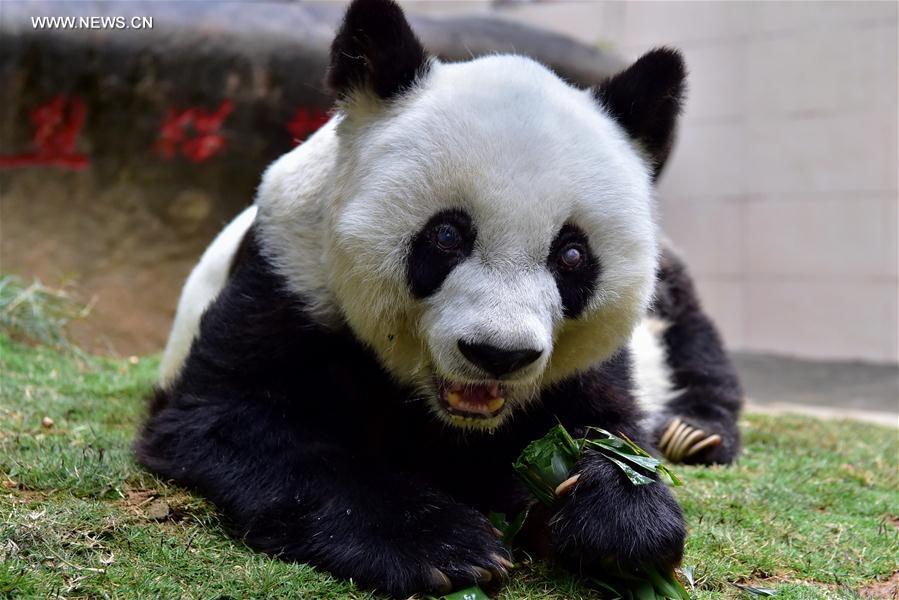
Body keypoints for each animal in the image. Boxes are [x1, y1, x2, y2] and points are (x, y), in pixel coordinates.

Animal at [137, 1, 740, 596]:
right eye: (447, 235)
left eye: (571, 255)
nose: (498, 354)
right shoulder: (292, 272)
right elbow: (226, 419)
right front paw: (445, 548)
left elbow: (607, 426)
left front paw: (622, 520)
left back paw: (694, 433)